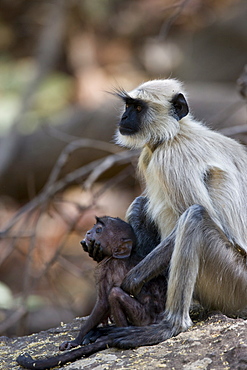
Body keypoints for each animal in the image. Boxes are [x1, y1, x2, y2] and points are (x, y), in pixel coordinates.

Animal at [16, 215, 168, 368]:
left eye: (99, 230)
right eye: (94, 227)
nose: (88, 232)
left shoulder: (106, 269)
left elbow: (103, 303)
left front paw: (76, 340)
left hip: (144, 317)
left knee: (115, 294)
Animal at [92, 79, 247, 350]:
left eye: (138, 108)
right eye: (128, 106)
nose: (124, 117)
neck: (173, 134)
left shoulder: (173, 158)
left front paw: (130, 282)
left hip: (236, 282)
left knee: (195, 216)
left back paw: (170, 326)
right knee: (140, 203)